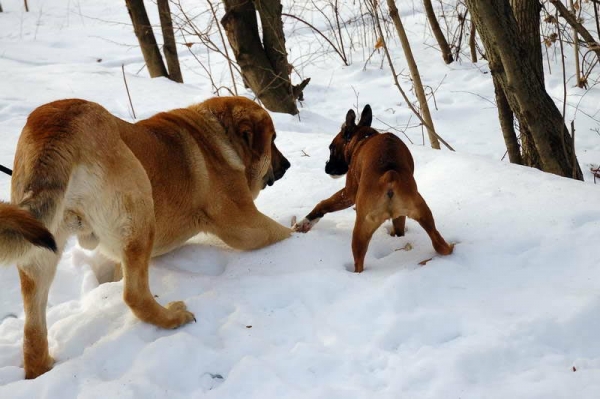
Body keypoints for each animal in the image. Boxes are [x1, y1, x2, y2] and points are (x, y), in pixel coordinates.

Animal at [0, 95, 290, 380]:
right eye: (273, 139)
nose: (287, 165)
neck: (219, 135)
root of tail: (59, 126)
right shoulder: (246, 226)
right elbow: (280, 232)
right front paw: (298, 230)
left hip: (38, 254)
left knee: (32, 331)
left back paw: (41, 368)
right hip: (140, 212)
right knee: (135, 295)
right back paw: (172, 318)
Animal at [292, 106, 452, 274]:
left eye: (331, 147)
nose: (326, 167)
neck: (364, 137)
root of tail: (389, 176)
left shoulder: (349, 193)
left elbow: (324, 204)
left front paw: (305, 223)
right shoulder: (400, 216)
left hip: (361, 229)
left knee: (359, 263)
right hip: (424, 216)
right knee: (440, 245)